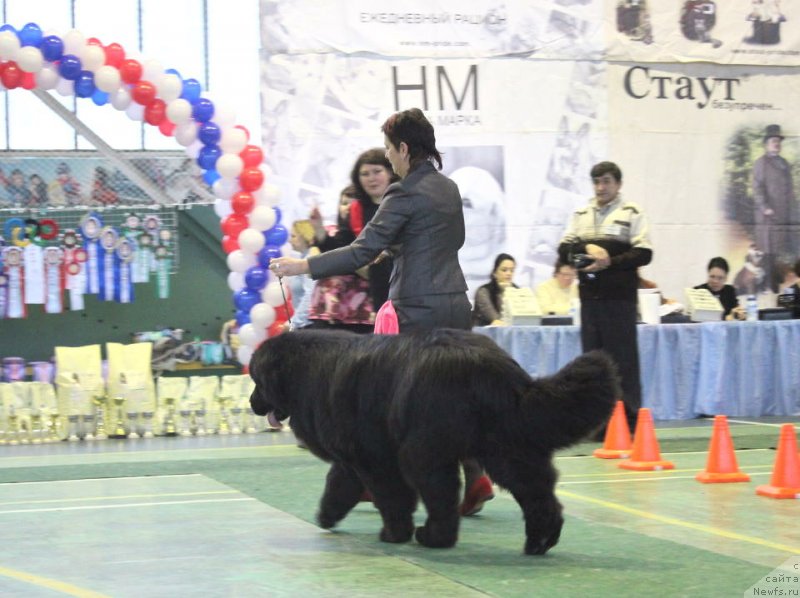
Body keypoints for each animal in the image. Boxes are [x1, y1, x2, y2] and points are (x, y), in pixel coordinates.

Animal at [250, 328, 620, 556]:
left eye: (256, 380)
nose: (253, 403)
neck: (305, 371)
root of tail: (498, 371)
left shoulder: (372, 458)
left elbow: (391, 497)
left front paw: (393, 533)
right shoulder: (353, 457)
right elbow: (338, 485)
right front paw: (327, 515)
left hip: (424, 451)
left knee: (440, 494)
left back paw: (434, 537)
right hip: (507, 450)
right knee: (537, 493)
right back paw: (539, 541)